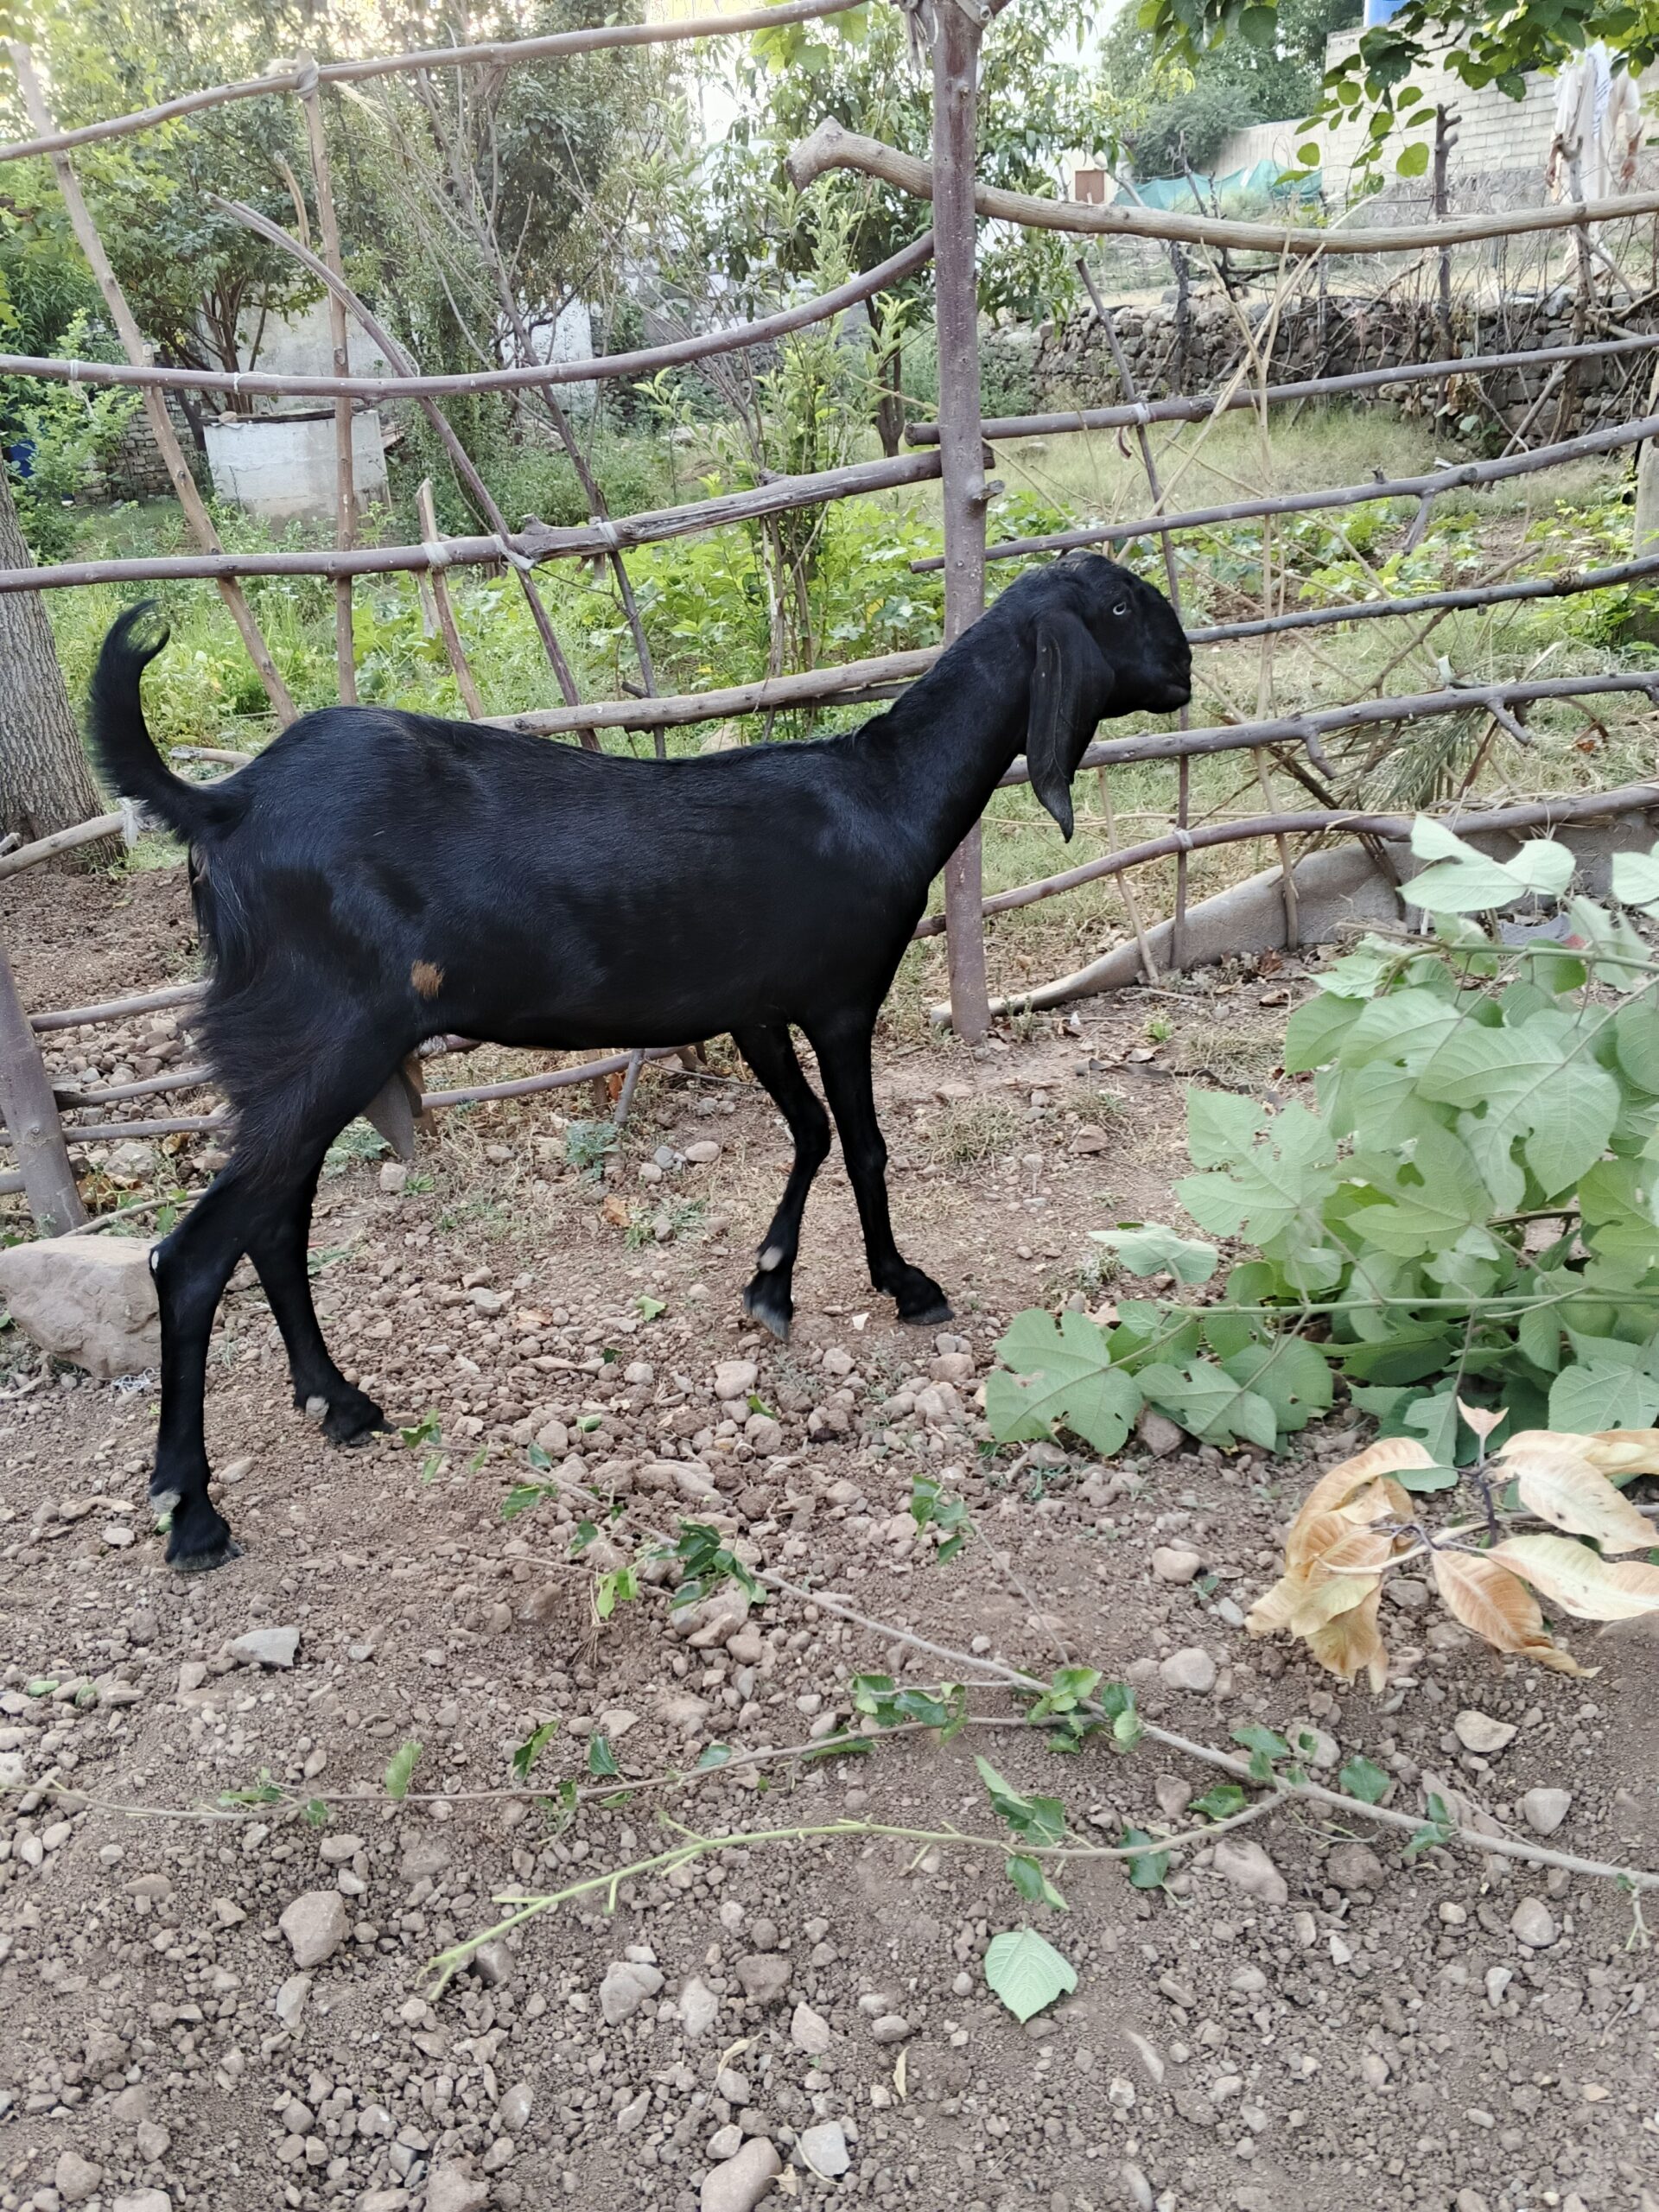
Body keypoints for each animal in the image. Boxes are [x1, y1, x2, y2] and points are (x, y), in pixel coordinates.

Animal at [87, 552, 1190, 1570]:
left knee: (274, 1226)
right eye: (1122, 604)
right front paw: (902, 1283)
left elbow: (808, 1131)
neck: (882, 790)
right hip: (328, 1036)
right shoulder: (840, 1000)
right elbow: (865, 1144)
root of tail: (225, 806)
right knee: (194, 1255)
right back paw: (191, 1511)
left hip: (308, 1058)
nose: (1184, 669)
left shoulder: (754, 1007)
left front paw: (771, 1282)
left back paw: (340, 1402)